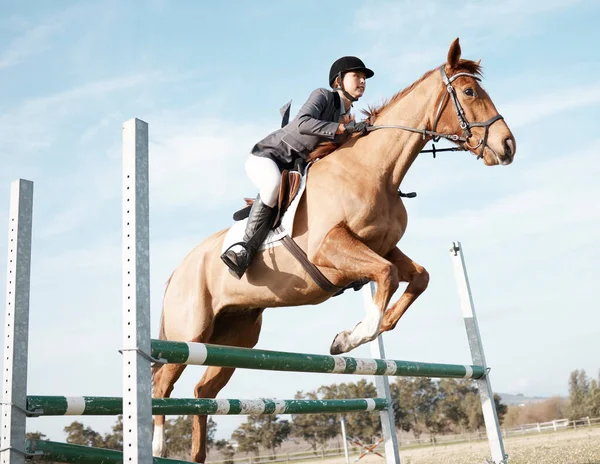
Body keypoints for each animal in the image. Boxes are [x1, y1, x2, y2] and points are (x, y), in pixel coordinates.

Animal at [150, 38, 516, 462]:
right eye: (470, 92)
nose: (508, 146)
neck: (375, 169)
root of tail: (176, 271)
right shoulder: (331, 248)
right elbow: (387, 277)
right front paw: (350, 338)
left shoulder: (382, 247)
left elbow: (415, 278)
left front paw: (358, 332)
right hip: (190, 332)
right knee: (162, 383)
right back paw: (155, 443)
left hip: (235, 337)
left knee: (202, 391)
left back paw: (195, 453)